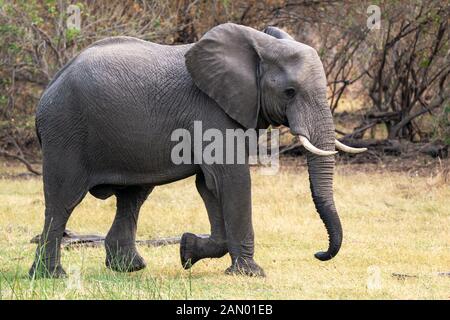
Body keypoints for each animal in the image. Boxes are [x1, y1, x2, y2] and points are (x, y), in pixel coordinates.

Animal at [29, 22, 366, 278]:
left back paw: (129, 268)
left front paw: (187, 250)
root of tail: (49, 88)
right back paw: (50, 276)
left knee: (132, 197)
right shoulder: (211, 111)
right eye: (289, 92)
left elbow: (209, 184)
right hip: (65, 132)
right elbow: (232, 179)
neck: (259, 46)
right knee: (62, 202)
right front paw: (251, 274)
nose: (319, 253)